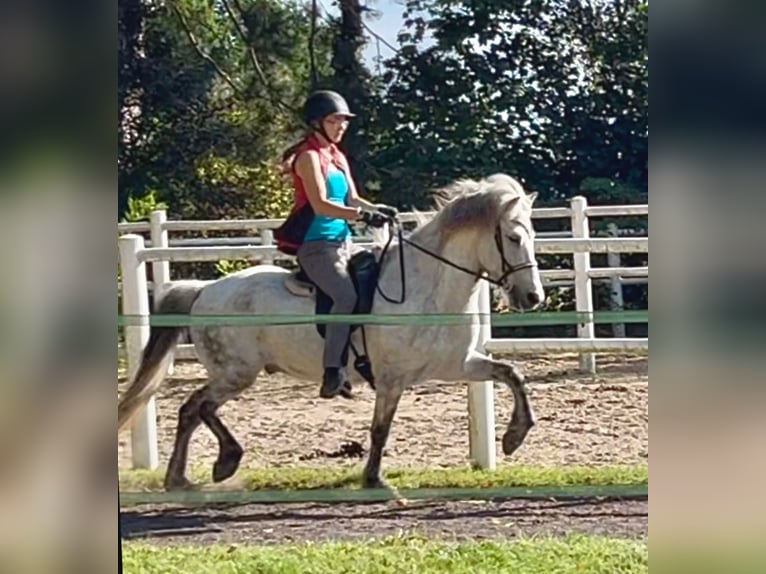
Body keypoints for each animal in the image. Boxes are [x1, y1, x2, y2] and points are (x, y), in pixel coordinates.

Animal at [118, 173, 545, 493]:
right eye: (513, 238)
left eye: (531, 236)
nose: (533, 296)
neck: (427, 285)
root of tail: (204, 291)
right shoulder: (391, 378)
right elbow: (380, 429)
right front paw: (373, 479)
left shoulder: (459, 364)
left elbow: (512, 374)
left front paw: (515, 436)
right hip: (235, 373)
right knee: (195, 407)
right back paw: (211, 467)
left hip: (233, 374)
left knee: (196, 409)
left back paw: (191, 474)